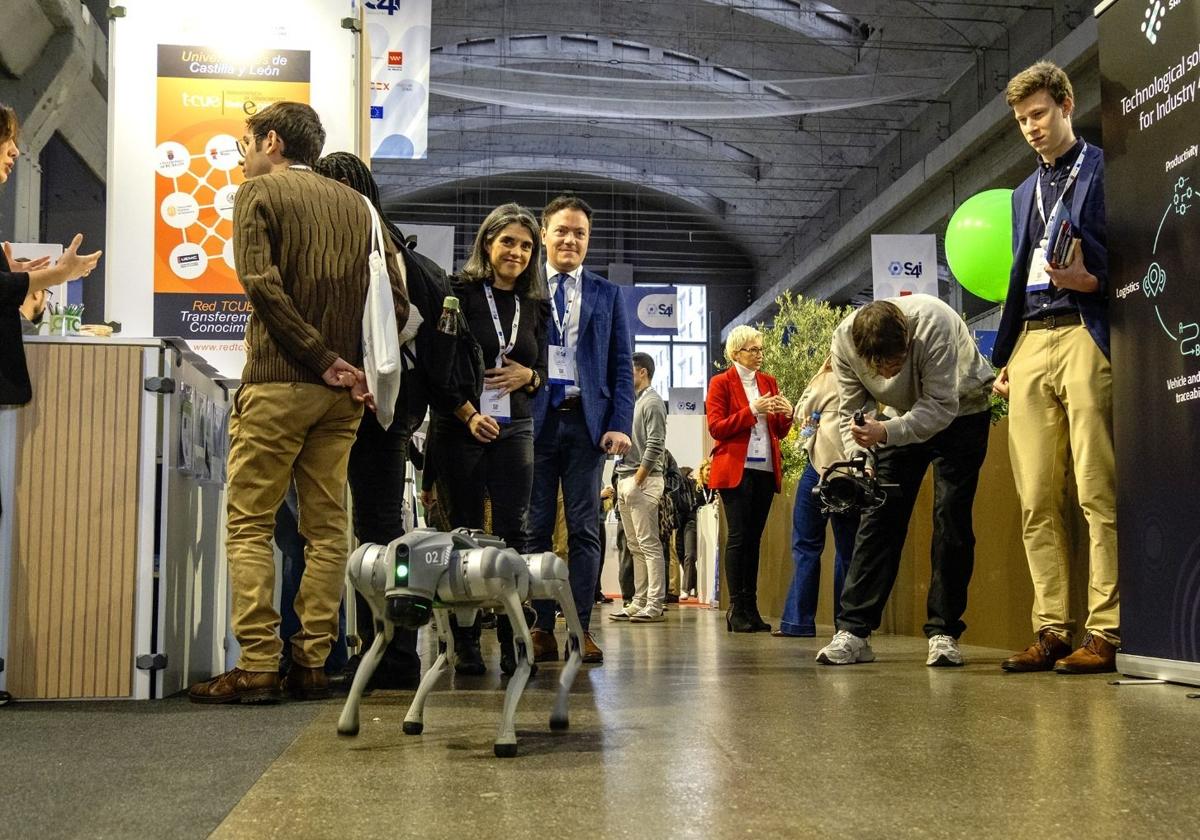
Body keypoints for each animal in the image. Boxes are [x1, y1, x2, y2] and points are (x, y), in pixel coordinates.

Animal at [336, 528, 583, 758]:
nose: (403, 612)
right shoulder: (371, 578)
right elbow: (384, 636)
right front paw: (348, 721)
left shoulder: (495, 573)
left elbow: (526, 651)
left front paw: (505, 737)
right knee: (446, 649)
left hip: (541, 577)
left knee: (572, 627)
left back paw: (559, 714)